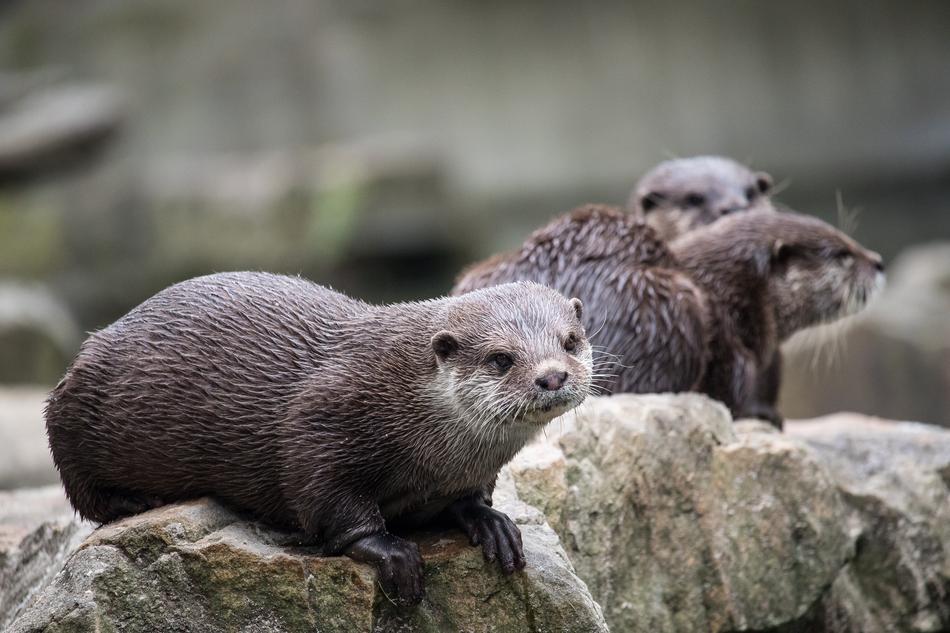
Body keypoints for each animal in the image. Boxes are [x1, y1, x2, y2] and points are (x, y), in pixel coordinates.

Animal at [45, 272, 592, 606]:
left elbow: (471, 499)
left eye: (569, 341)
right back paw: (136, 501)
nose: (552, 376)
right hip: (71, 409)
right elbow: (324, 496)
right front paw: (392, 554)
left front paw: (489, 522)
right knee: (81, 490)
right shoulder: (323, 418)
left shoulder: (470, 470)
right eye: (501, 358)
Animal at [453, 206, 884, 427]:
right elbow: (734, 398)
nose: (878, 261)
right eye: (842, 254)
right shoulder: (733, 349)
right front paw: (764, 414)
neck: (734, 294)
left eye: (847, 240)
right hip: (672, 310)